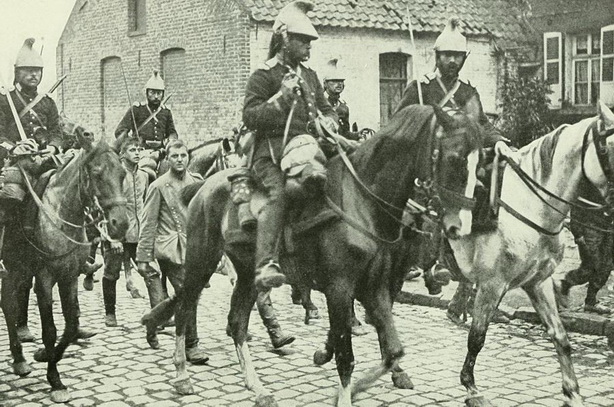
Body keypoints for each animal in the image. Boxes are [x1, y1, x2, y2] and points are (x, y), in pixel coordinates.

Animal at [0, 132, 128, 403]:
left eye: (122, 173)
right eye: (97, 173)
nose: (120, 224)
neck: (59, 215)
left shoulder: (69, 276)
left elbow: (70, 326)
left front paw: (43, 356)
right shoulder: (45, 279)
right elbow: (50, 329)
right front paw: (55, 380)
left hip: (16, 268)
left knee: (8, 304)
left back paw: (19, 359)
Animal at [141, 101, 485, 407]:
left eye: (480, 164)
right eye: (454, 158)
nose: (459, 226)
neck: (362, 202)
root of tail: (201, 186)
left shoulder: (374, 287)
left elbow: (393, 351)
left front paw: (358, 385)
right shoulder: (340, 287)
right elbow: (346, 355)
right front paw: (343, 393)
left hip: (250, 273)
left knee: (236, 323)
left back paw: (258, 389)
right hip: (202, 260)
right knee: (185, 308)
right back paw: (182, 374)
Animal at [395, 101, 614, 407]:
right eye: (610, 148)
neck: (531, 207)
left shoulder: (538, 282)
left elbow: (560, 336)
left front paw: (572, 392)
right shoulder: (492, 285)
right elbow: (477, 338)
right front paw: (471, 388)